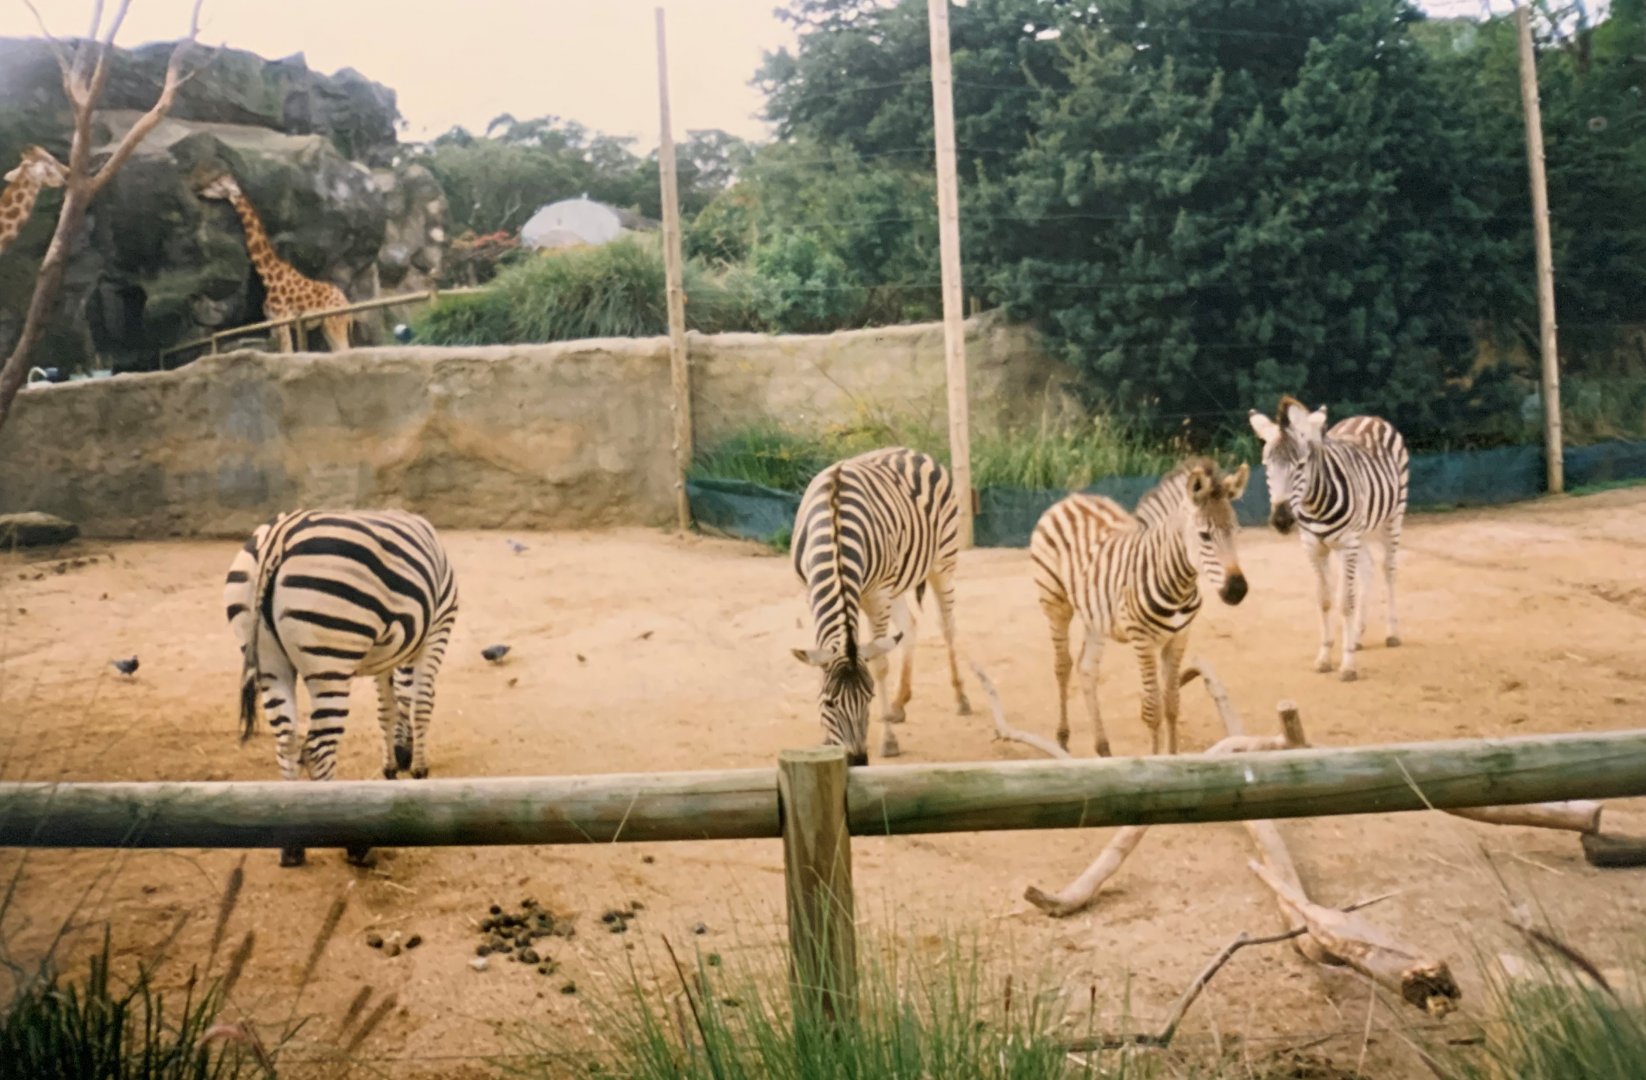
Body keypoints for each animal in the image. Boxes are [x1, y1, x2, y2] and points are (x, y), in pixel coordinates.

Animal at [224, 509, 459, 866]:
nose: (404, 758)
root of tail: (280, 534)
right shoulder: (438, 628)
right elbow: (420, 703)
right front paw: (418, 770)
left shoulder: (384, 656)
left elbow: (386, 710)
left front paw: (392, 766)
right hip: (330, 659)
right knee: (318, 748)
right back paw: (351, 844)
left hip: (269, 663)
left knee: (287, 742)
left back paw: (292, 845)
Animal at [790, 447, 971, 766]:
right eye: (829, 702)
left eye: (870, 697)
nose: (857, 761)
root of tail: (912, 451)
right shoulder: (811, 592)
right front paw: (827, 740)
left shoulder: (876, 595)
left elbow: (880, 665)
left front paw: (888, 741)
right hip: (895, 583)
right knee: (910, 625)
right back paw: (898, 705)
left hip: (942, 563)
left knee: (947, 626)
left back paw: (960, 698)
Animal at [1029, 458, 1250, 757]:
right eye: (1204, 535)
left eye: (1236, 531)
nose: (1237, 590)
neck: (1178, 584)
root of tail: (1071, 499)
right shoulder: (1142, 640)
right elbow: (1153, 709)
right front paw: (1155, 760)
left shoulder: (1179, 637)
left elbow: (1172, 703)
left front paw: (1173, 756)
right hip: (1055, 602)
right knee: (1062, 666)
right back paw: (1063, 740)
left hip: (1095, 613)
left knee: (1086, 669)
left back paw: (1104, 749)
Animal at [1248, 396, 1409, 681]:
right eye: (1267, 466)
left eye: (1301, 465)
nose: (1281, 520)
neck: (1315, 505)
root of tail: (1370, 417)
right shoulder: (1314, 547)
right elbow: (1324, 600)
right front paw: (1324, 657)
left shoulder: (1346, 543)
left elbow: (1346, 602)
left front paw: (1348, 665)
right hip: (1362, 530)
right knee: (1367, 568)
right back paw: (1356, 636)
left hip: (1393, 516)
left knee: (1388, 569)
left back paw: (1392, 633)